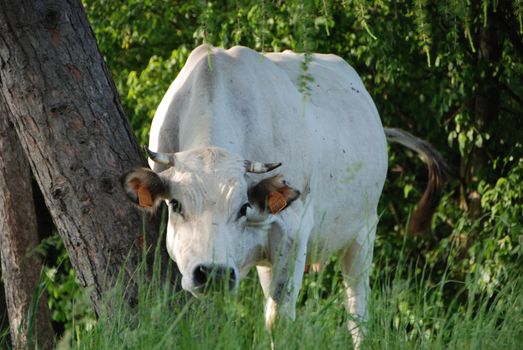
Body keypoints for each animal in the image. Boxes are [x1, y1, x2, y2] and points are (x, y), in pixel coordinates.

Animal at [123, 44, 446, 348]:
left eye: (243, 208)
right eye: (176, 204)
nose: (213, 273)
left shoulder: (291, 231)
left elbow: (279, 321)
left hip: (363, 232)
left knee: (357, 308)